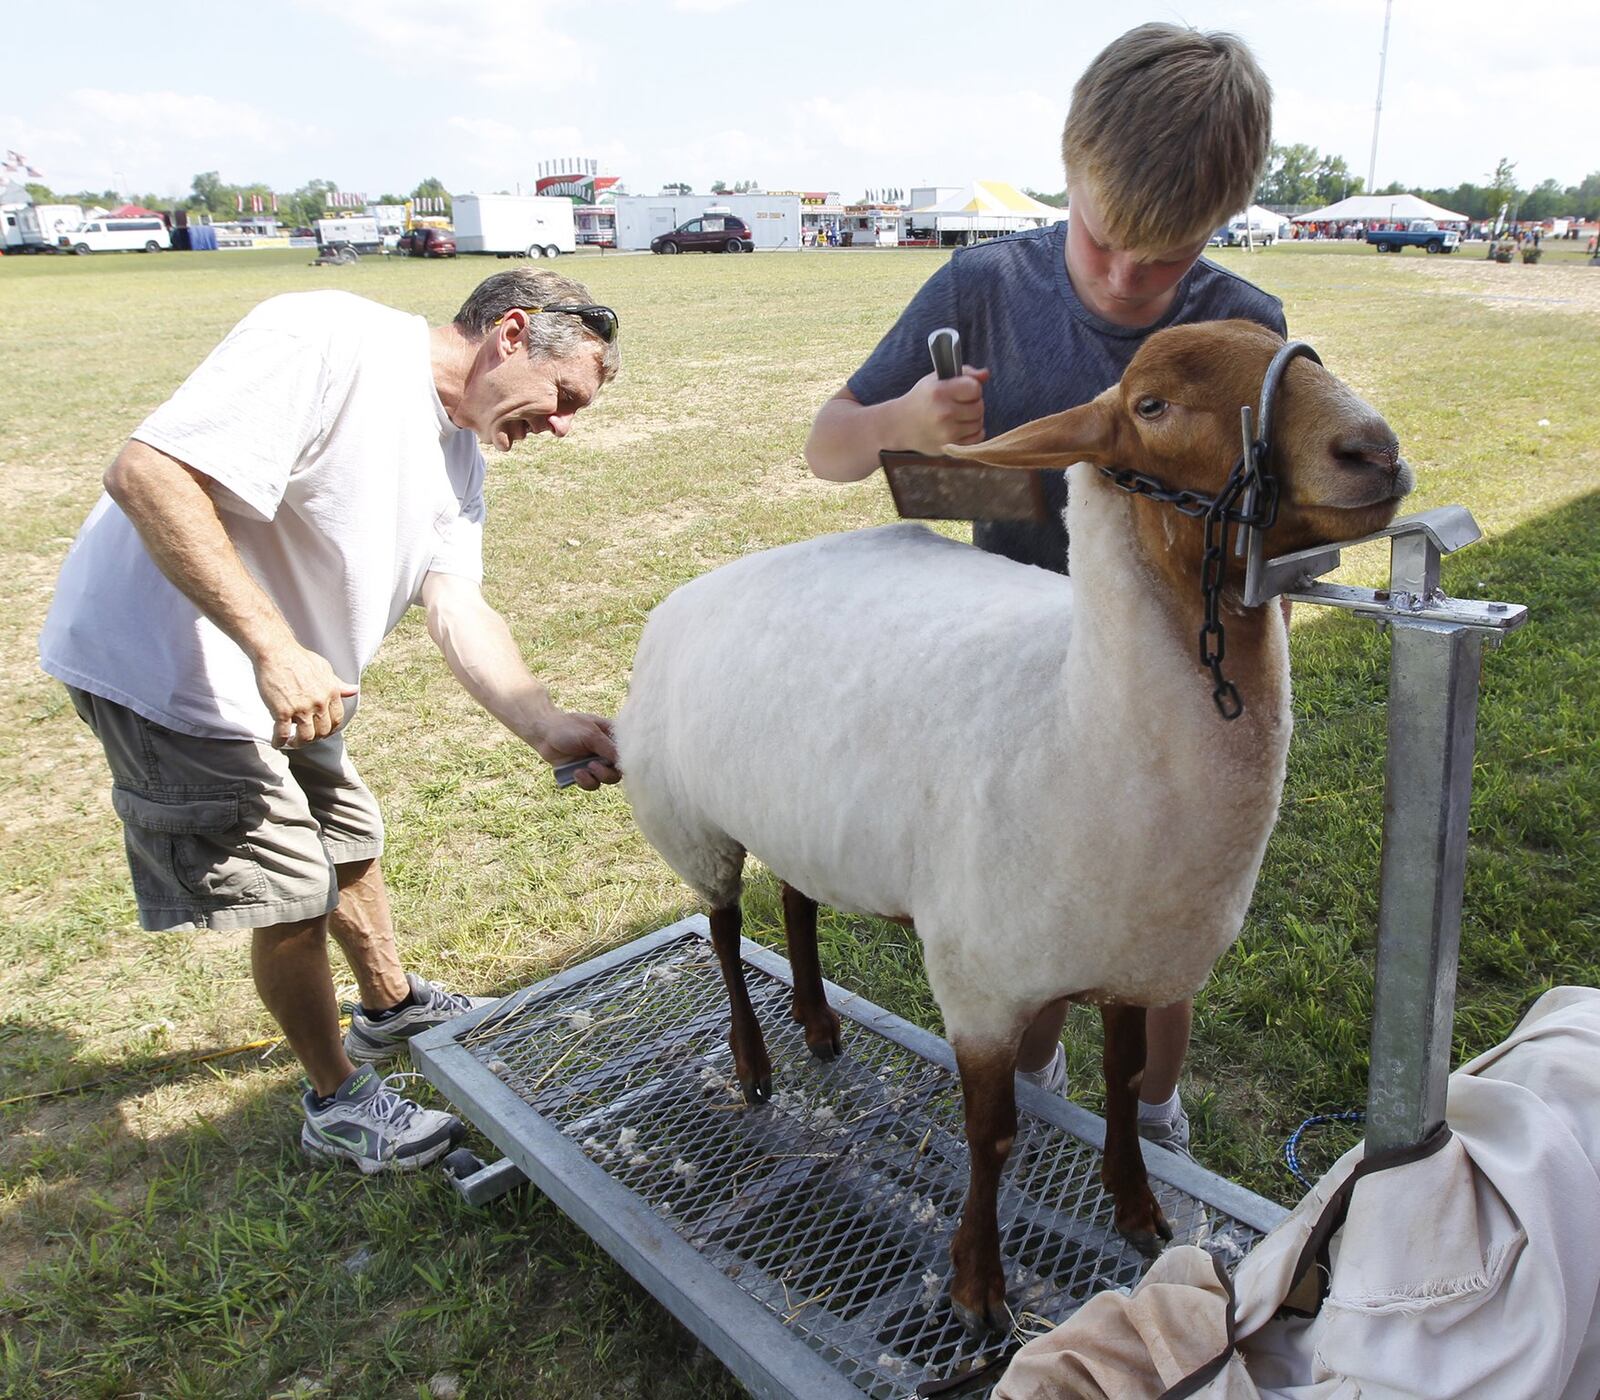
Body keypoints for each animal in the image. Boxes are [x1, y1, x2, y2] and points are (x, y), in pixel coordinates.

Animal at [614, 320, 1414, 1337]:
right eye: (1151, 404)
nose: (1373, 451)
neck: (1071, 719)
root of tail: (699, 586)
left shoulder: (1131, 961)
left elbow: (1123, 1088)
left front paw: (1138, 1211)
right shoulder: (979, 987)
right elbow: (991, 1136)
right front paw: (978, 1287)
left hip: (800, 814)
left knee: (794, 902)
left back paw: (821, 1023)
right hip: (690, 820)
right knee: (722, 930)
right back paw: (755, 1062)